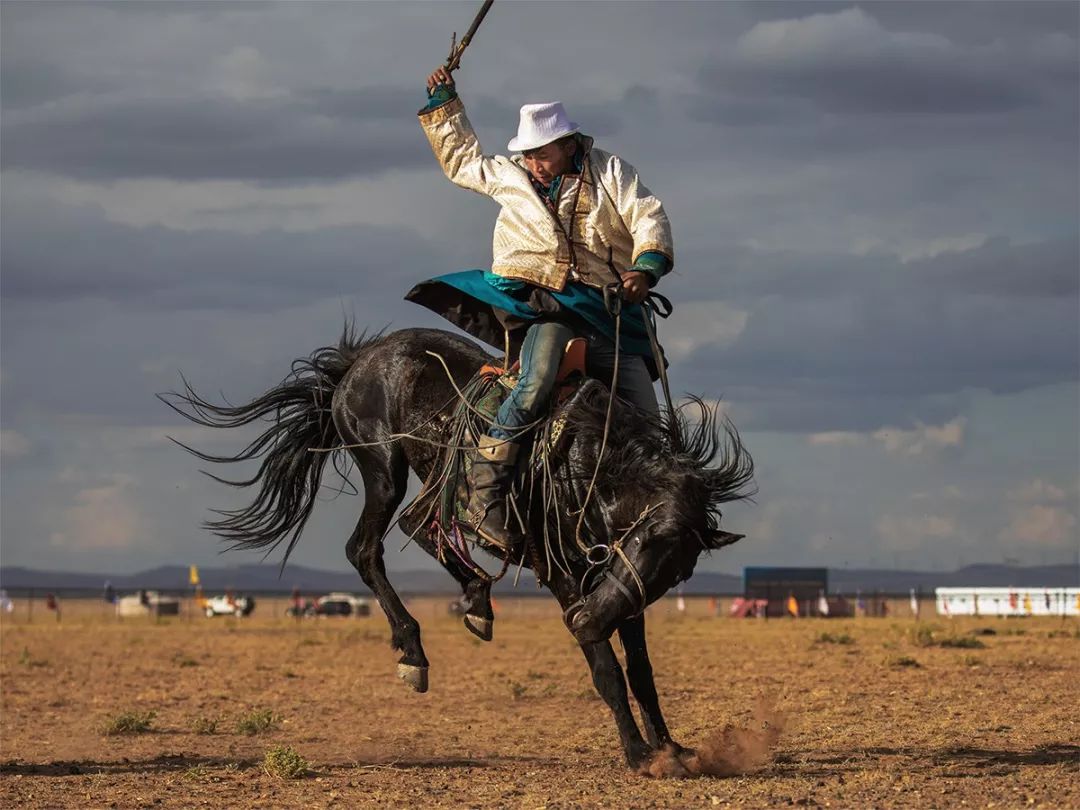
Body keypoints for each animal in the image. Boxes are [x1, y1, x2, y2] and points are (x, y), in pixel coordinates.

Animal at [164, 326, 756, 768]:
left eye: (679, 571)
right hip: (384, 468)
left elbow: (641, 670)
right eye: (646, 534)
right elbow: (606, 670)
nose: (586, 620)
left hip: (426, 478)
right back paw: (414, 651)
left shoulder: (615, 589)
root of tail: (357, 361)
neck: (587, 462)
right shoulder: (562, 575)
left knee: (420, 526)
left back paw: (476, 600)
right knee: (369, 546)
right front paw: (637, 755)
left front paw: (671, 748)